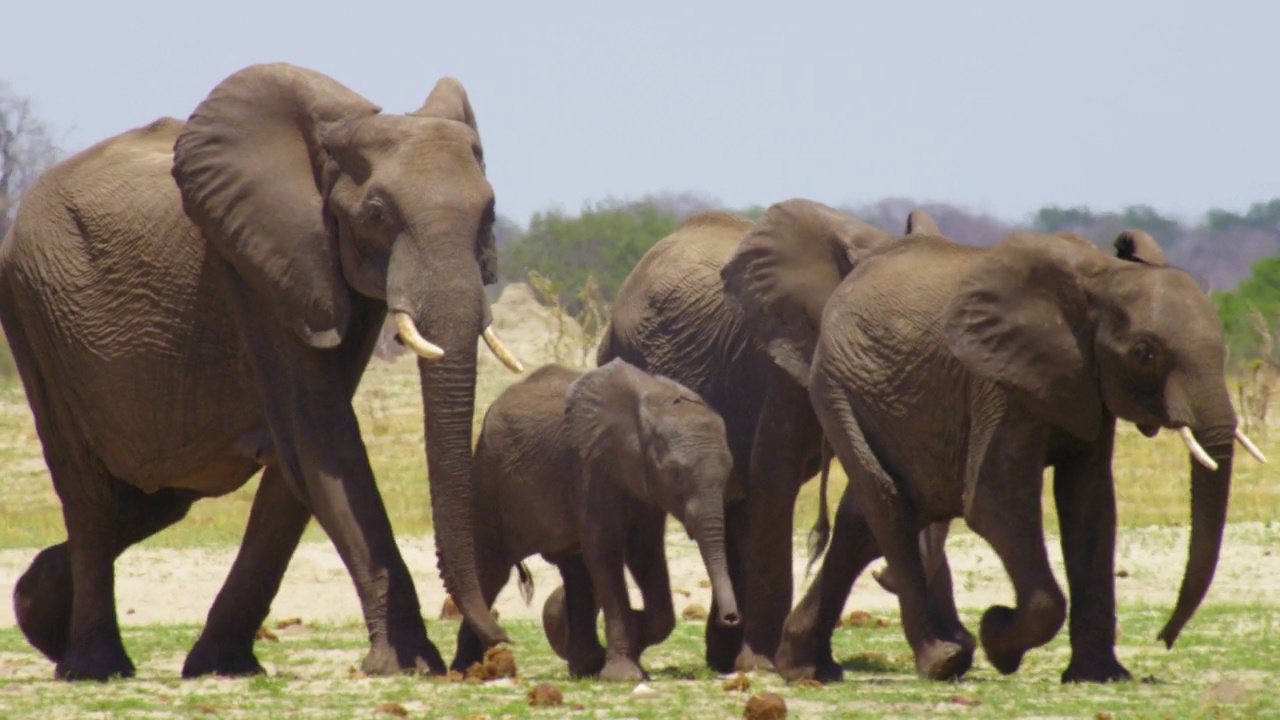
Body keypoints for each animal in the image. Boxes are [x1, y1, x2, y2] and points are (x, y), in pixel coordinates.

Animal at [1, 61, 519, 676]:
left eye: (489, 212)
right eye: (375, 214)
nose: (498, 644)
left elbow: (300, 463)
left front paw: (221, 665)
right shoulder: (256, 265)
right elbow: (321, 435)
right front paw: (410, 664)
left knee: (150, 496)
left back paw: (40, 612)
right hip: (34, 308)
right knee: (88, 492)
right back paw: (95, 666)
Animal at [450, 358, 742, 676]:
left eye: (729, 471)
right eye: (675, 474)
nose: (730, 618)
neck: (651, 402)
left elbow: (644, 552)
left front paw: (632, 633)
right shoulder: (591, 464)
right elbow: (604, 549)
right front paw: (623, 673)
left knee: (576, 570)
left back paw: (585, 664)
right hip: (489, 478)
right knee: (491, 570)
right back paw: (464, 670)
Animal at [599, 198, 962, 671]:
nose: (885, 576)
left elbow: (870, 495)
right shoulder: (783, 360)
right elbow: (775, 475)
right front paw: (762, 664)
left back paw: (722, 655)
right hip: (620, 353)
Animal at [721, 222, 1259, 676]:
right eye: (1145, 353)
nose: (1165, 638)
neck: (1100, 279)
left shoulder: (1086, 383)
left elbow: (1090, 507)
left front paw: (1101, 677)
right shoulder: (995, 383)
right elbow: (994, 502)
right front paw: (999, 636)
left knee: (863, 520)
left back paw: (804, 669)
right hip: (836, 388)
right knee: (888, 505)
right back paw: (941, 661)